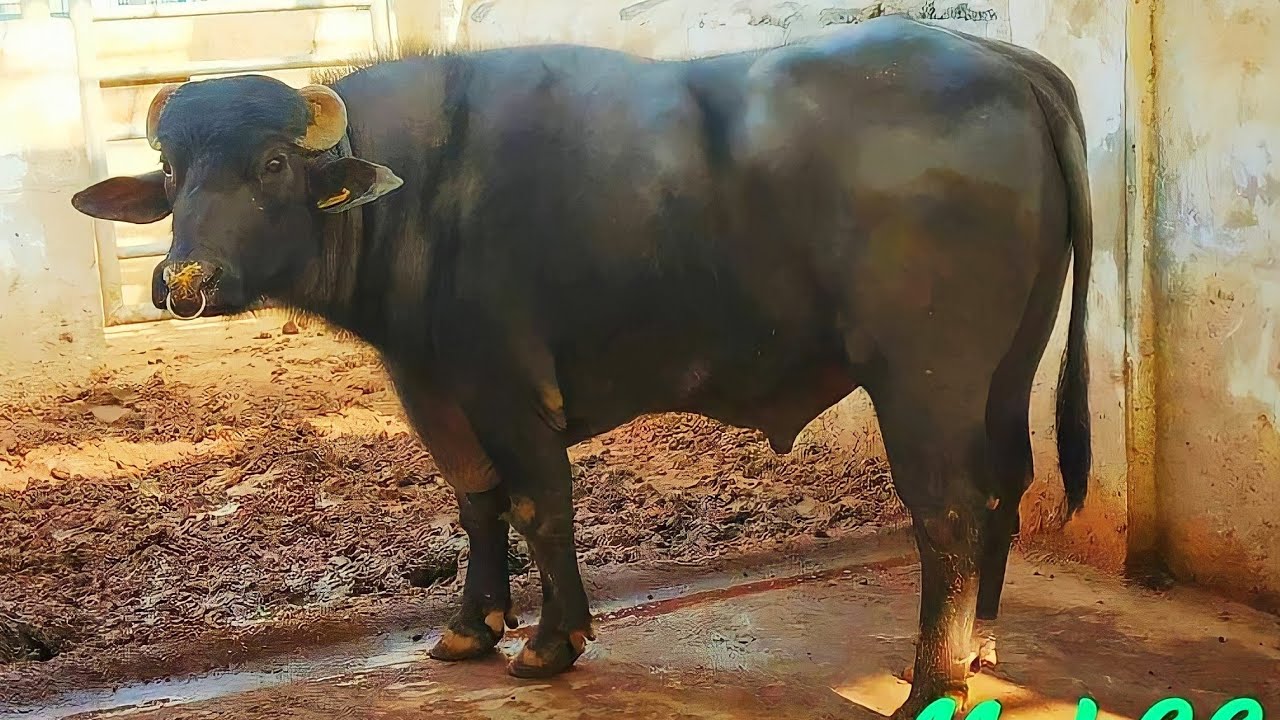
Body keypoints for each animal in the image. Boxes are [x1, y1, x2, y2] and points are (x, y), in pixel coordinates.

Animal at [71, 15, 1091, 718]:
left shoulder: (508, 389)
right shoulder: (432, 386)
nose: (184, 281)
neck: (423, 191)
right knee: (1008, 486)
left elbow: (539, 506)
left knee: (948, 511)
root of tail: (1010, 65)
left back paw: (932, 686)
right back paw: (982, 649)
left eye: (273, 164)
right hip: (1011, 367)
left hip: (925, 378)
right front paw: (471, 626)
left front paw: (552, 641)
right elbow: (476, 501)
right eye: (172, 170)